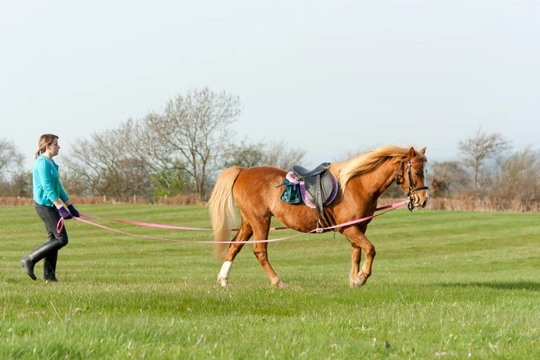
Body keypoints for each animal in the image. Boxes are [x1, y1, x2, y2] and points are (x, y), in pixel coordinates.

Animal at [208, 145, 430, 288]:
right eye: (416, 171)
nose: (423, 200)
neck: (358, 185)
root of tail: (243, 171)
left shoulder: (358, 227)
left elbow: (357, 252)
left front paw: (353, 280)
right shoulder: (349, 228)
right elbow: (370, 249)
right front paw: (361, 278)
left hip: (249, 222)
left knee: (235, 246)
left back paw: (223, 280)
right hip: (260, 220)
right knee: (260, 251)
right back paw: (278, 282)